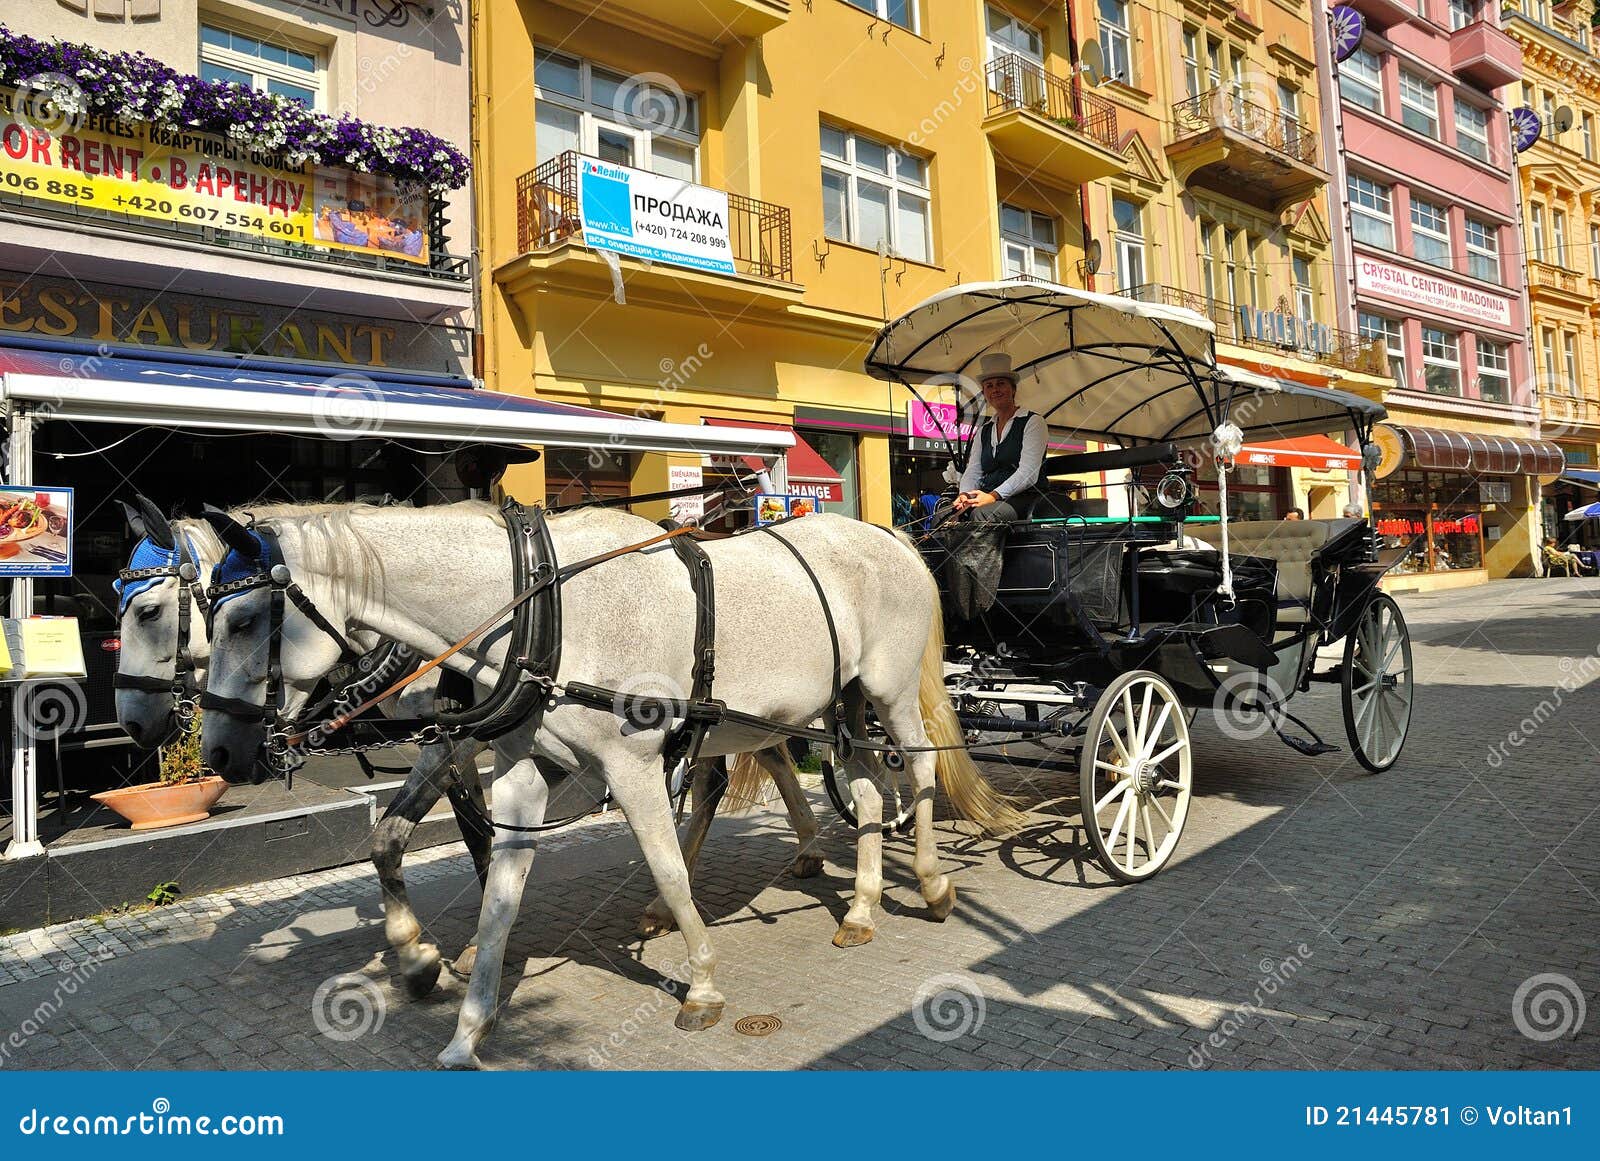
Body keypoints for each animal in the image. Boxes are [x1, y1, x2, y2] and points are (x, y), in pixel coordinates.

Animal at [116, 505, 825, 1004]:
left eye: (151, 611)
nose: (133, 720)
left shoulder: (454, 741)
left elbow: (472, 836)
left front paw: (464, 950)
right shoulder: (456, 739)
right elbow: (393, 837)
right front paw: (423, 955)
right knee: (755, 764)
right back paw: (792, 856)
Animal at [193, 505, 1017, 1068]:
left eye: (243, 621)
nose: (221, 751)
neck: (537, 615)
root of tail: (889, 535)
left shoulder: (635, 766)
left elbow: (668, 867)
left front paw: (702, 985)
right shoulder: (521, 771)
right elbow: (494, 892)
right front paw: (468, 1023)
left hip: (887, 692)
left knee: (915, 773)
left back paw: (931, 883)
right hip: (831, 705)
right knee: (868, 791)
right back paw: (863, 906)